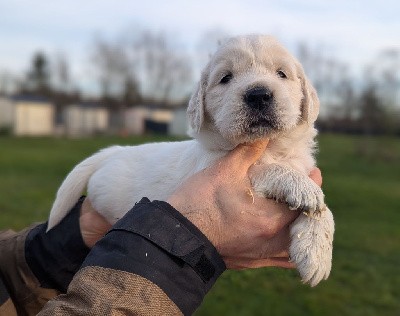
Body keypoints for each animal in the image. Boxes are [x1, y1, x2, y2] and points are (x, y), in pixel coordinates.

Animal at [47, 34, 334, 286]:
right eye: (226, 78)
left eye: (281, 73)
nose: (259, 95)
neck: (269, 146)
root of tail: (115, 151)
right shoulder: (219, 168)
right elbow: (267, 170)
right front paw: (302, 188)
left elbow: (325, 212)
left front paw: (315, 253)